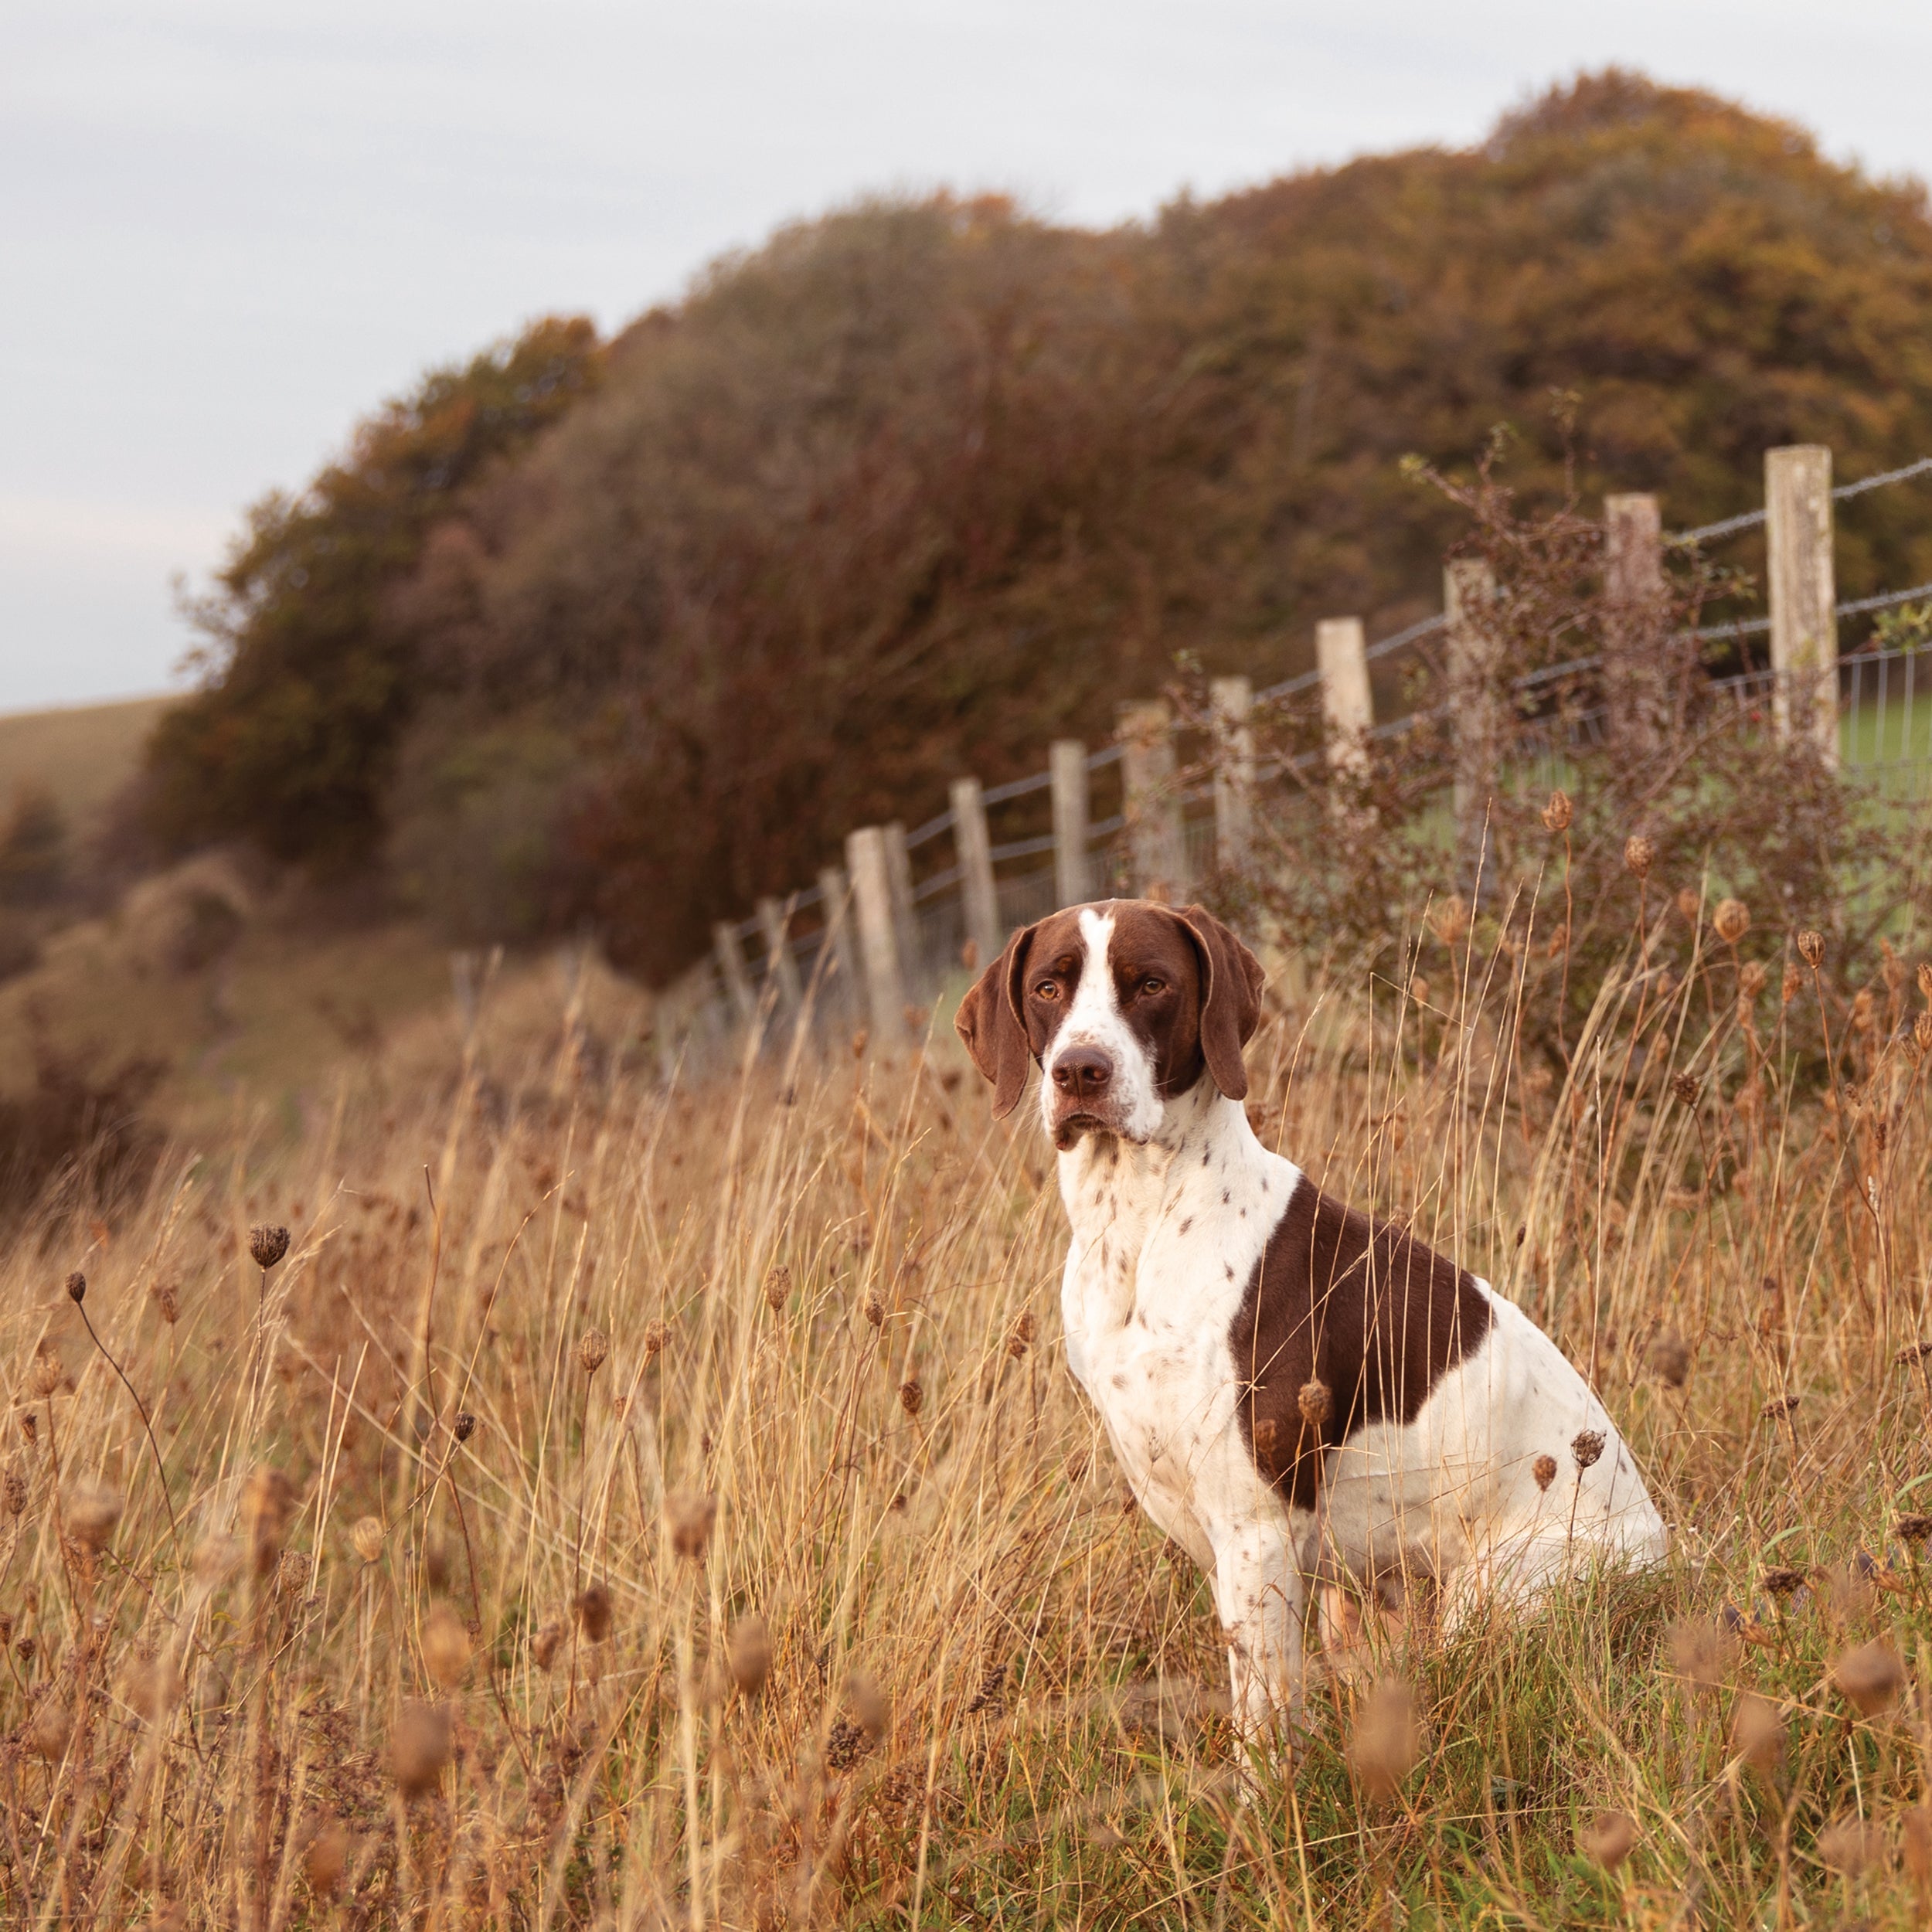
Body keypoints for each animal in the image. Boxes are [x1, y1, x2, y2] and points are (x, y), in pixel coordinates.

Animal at [958, 900, 1669, 1739]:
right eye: (1048, 987)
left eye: (1151, 984)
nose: (1079, 1071)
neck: (1141, 1223)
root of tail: (1674, 1561)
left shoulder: (1255, 1530)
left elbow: (1263, 1722)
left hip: (1490, 1592)